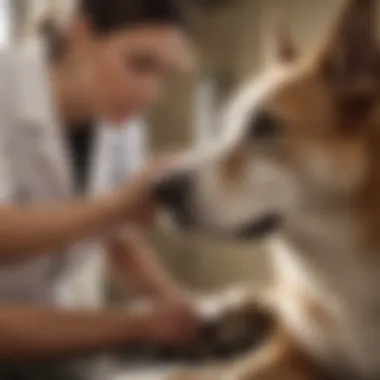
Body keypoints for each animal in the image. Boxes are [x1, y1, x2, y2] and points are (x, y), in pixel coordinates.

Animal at [152, 0, 380, 378]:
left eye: (264, 127)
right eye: (223, 124)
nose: (159, 190)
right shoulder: (293, 349)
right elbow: (236, 371)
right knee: (265, 297)